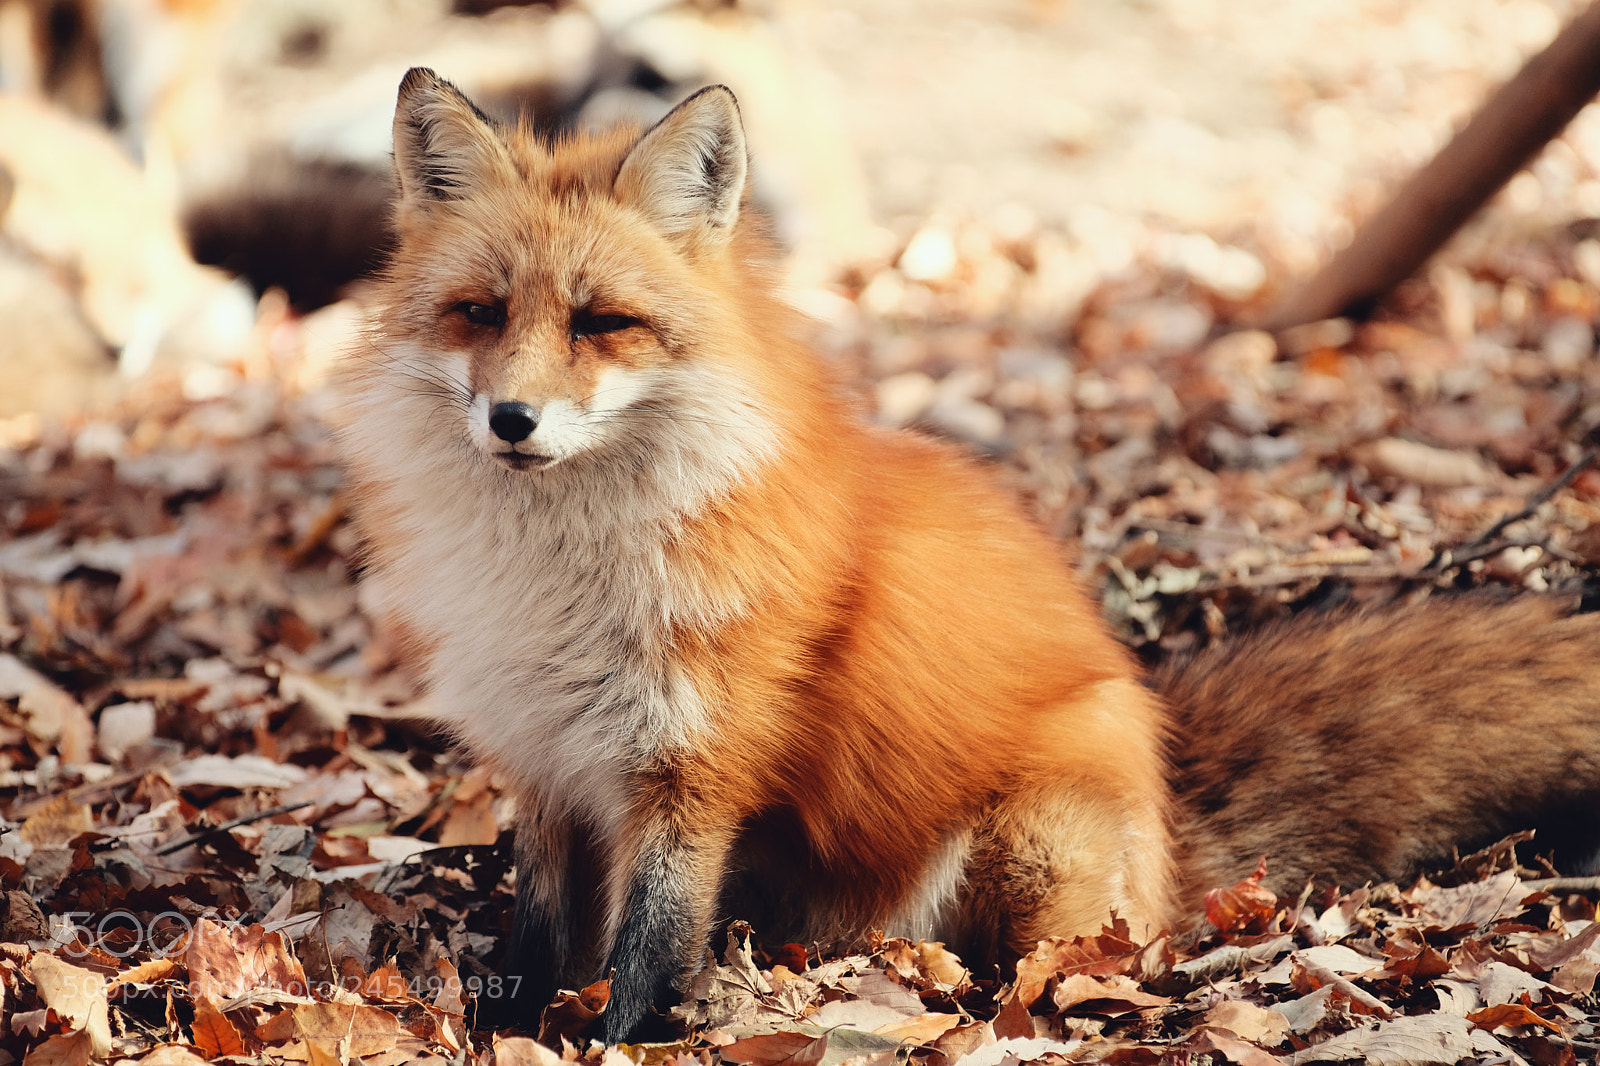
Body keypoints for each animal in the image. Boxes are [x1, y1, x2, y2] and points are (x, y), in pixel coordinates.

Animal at [334, 69, 1600, 1043]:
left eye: (600, 323)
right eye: (482, 313)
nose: (512, 420)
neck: (563, 580)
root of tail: (1167, 793)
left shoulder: (692, 765)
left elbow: (648, 943)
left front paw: (619, 1038)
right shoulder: (546, 758)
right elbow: (542, 931)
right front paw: (508, 1026)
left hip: (1029, 852)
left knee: (1106, 961)